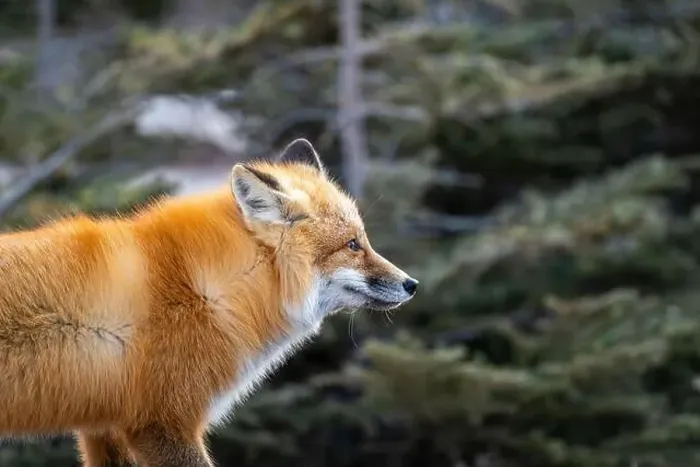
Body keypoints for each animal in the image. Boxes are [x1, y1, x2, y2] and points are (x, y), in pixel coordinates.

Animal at [0, 138, 418, 466]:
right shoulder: (162, 423)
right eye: (352, 245)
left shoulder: (105, 428)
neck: (208, 292)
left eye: (362, 240)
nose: (411, 284)